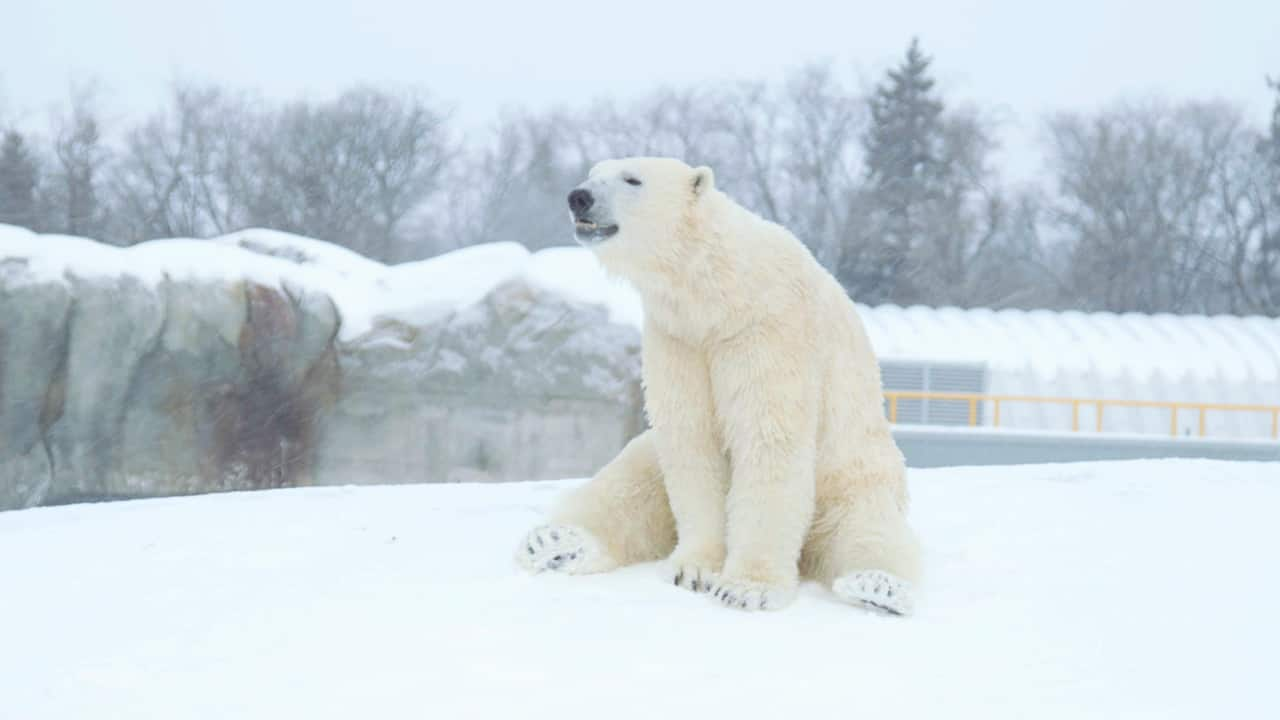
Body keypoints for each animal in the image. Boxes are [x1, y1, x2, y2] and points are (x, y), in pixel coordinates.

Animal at [517, 155, 921, 609]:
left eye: (632, 179)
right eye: (591, 174)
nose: (578, 196)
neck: (718, 294)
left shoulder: (767, 330)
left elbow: (768, 439)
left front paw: (747, 588)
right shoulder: (679, 339)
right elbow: (691, 441)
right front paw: (693, 569)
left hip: (857, 477)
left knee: (868, 529)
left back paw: (877, 585)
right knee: (629, 483)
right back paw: (555, 542)